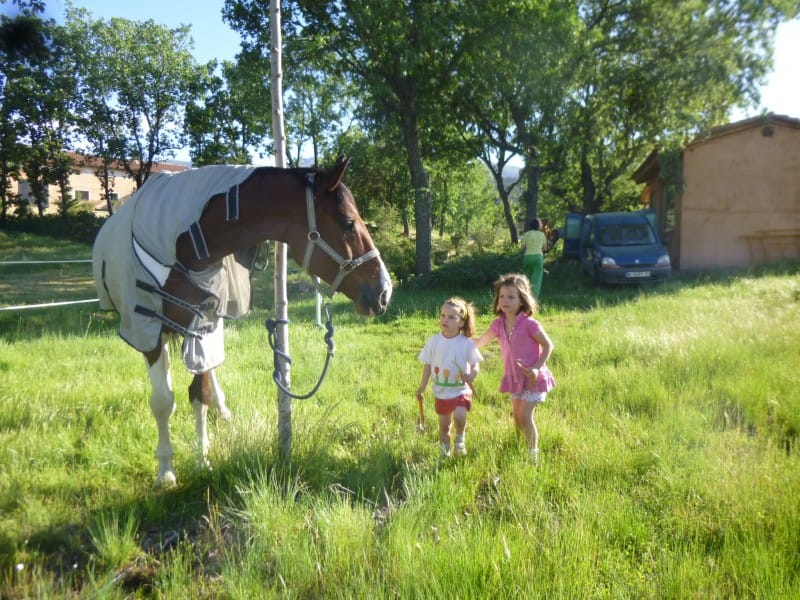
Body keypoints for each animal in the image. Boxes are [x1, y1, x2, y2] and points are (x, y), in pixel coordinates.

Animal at [92, 157, 392, 486]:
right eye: (349, 223)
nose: (384, 291)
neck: (187, 246)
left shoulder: (203, 326)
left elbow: (200, 393)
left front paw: (202, 460)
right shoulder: (147, 329)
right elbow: (162, 401)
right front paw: (166, 470)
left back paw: (222, 410)